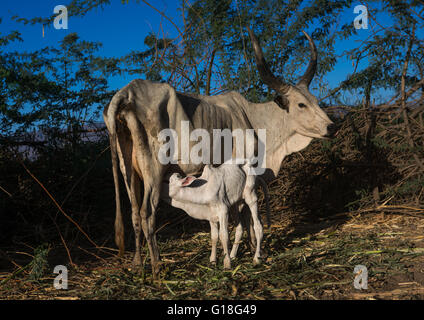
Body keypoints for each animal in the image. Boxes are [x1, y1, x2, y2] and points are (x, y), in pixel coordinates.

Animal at [102, 26, 334, 278]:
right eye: (301, 104)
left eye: (315, 100)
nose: (331, 127)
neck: (254, 120)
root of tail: (126, 94)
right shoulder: (245, 170)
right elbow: (245, 215)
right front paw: (252, 250)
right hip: (153, 169)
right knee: (147, 213)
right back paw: (156, 266)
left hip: (128, 170)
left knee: (134, 212)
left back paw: (137, 264)